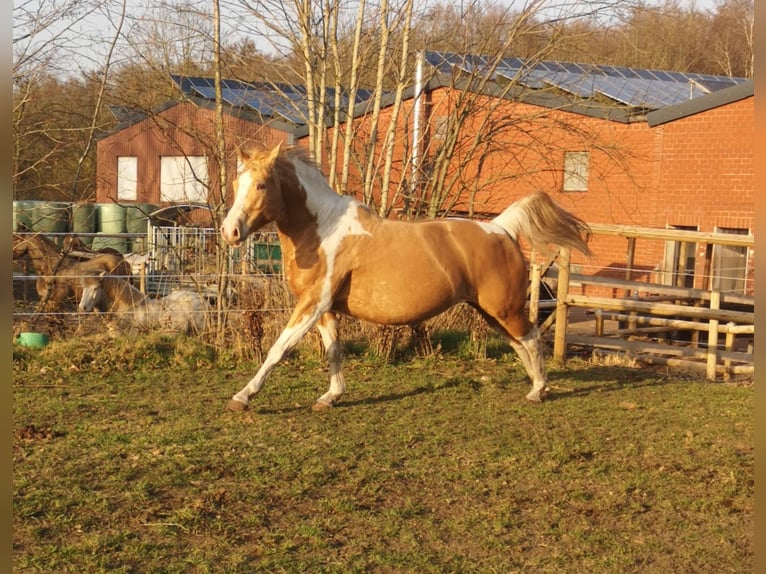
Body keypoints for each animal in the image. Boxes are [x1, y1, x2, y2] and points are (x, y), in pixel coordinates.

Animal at [222, 145, 592, 414]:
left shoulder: (313, 303)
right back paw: (537, 386)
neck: (321, 228)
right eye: (236, 185)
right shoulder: (324, 308)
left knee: (532, 339)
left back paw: (538, 391)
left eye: (261, 185)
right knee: (520, 343)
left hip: (504, 308)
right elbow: (334, 351)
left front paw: (242, 397)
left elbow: (278, 349)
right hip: (490, 311)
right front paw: (331, 397)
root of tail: (501, 227)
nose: (230, 232)